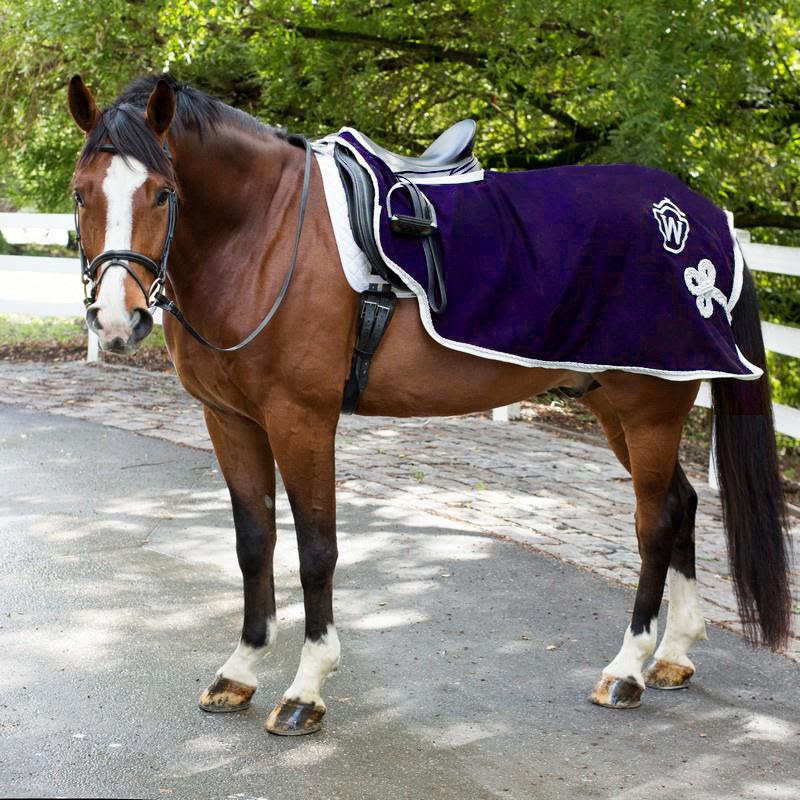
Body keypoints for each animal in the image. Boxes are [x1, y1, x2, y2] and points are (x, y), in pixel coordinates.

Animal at [65, 76, 792, 736]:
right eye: (81, 192)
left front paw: (305, 691)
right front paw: (238, 672)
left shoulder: (302, 419)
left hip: (650, 409)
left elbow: (316, 548)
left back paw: (627, 670)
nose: (117, 322)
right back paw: (673, 655)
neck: (265, 232)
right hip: (616, 407)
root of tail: (705, 218)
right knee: (682, 505)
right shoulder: (229, 419)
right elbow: (254, 541)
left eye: (163, 193)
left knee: (653, 524)